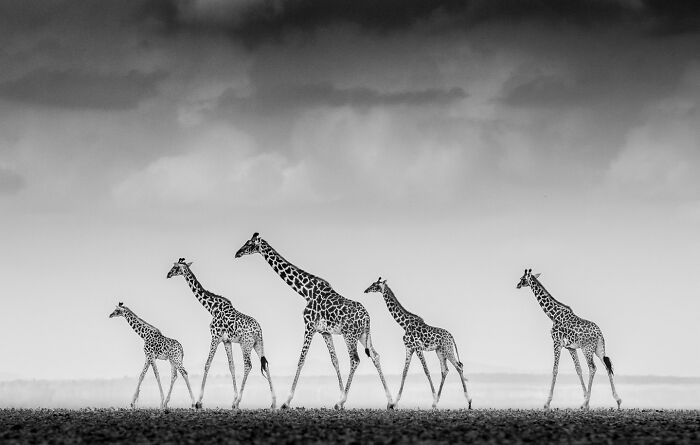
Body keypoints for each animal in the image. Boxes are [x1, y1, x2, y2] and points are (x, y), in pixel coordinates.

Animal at [166, 258, 276, 409]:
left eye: (176, 267)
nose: (168, 274)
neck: (212, 308)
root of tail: (258, 330)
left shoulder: (215, 337)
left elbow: (207, 364)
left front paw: (199, 402)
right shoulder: (226, 341)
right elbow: (231, 367)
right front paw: (232, 398)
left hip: (245, 344)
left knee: (248, 365)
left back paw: (239, 401)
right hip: (258, 344)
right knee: (265, 364)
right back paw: (273, 402)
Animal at [235, 232, 394, 410]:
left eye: (250, 244)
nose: (237, 253)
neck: (305, 292)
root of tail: (367, 318)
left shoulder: (309, 326)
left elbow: (301, 360)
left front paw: (286, 401)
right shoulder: (325, 332)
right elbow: (334, 361)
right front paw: (340, 396)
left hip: (349, 335)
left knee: (355, 360)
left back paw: (344, 401)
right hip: (364, 335)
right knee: (375, 356)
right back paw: (390, 401)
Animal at [364, 277, 472, 409]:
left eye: (375, 285)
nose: (365, 290)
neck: (404, 324)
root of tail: (451, 336)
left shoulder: (418, 347)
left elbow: (426, 370)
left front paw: (433, 396)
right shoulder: (409, 348)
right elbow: (404, 372)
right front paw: (395, 403)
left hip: (448, 350)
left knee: (459, 367)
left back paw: (468, 401)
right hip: (440, 351)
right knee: (445, 370)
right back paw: (436, 403)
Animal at [517, 268, 622, 409]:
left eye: (522, 278)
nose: (517, 285)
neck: (553, 315)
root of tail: (600, 334)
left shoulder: (557, 343)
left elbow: (555, 370)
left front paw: (547, 403)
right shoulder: (571, 348)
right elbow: (578, 370)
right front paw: (586, 398)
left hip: (587, 349)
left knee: (593, 368)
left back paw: (585, 403)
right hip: (599, 349)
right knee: (607, 366)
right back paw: (617, 400)